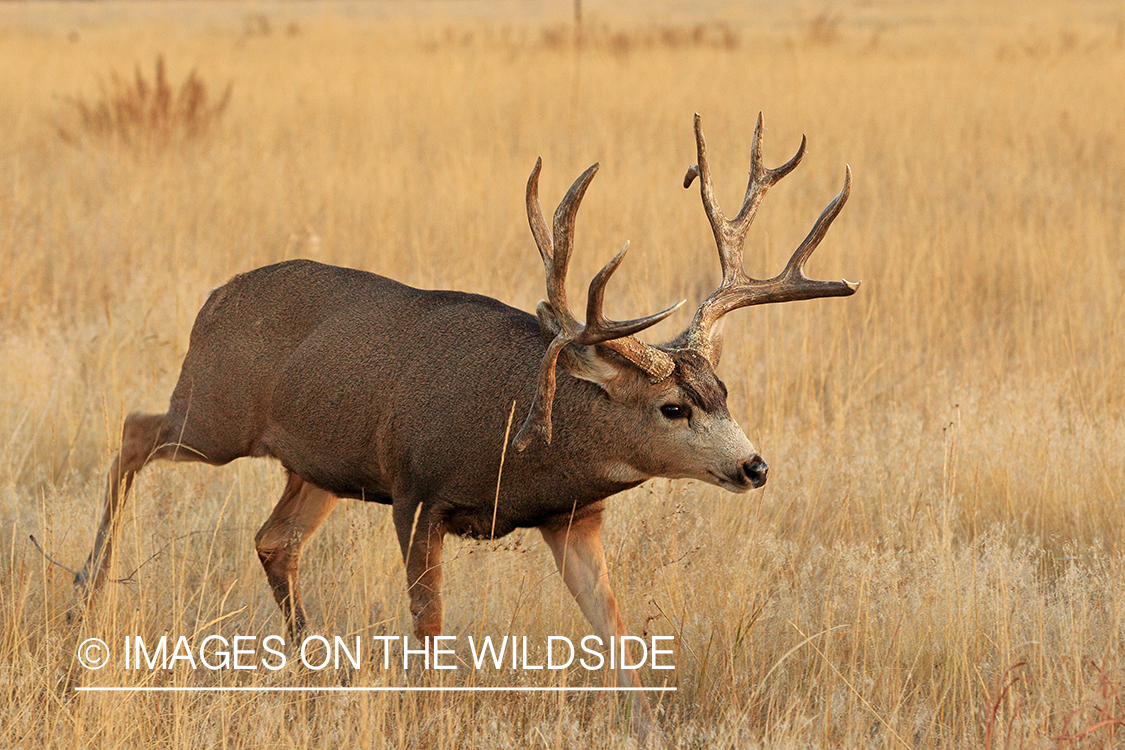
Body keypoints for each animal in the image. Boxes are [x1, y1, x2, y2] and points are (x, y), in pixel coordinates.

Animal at [73, 113, 857, 730]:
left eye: (724, 390)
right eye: (673, 407)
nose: (754, 466)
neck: (525, 438)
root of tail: (212, 297)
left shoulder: (573, 516)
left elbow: (612, 625)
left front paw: (647, 725)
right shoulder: (417, 492)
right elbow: (430, 623)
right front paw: (425, 712)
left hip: (316, 466)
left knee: (272, 539)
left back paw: (312, 664)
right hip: (216, 415)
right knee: (133, 431)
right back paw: (90, 585)